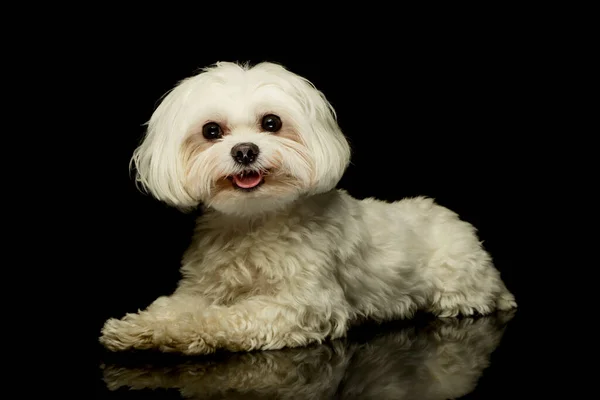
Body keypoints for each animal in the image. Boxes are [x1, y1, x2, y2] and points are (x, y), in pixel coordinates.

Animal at [98, 61, 516, 356]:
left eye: (271, 122)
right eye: (211, 131)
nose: (245, 151)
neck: (253, 222)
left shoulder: (301, 306)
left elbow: (227, 317)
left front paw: (192, 334)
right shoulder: (200, 287)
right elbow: (172, 307)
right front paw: (139, 328)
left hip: (457, 284)